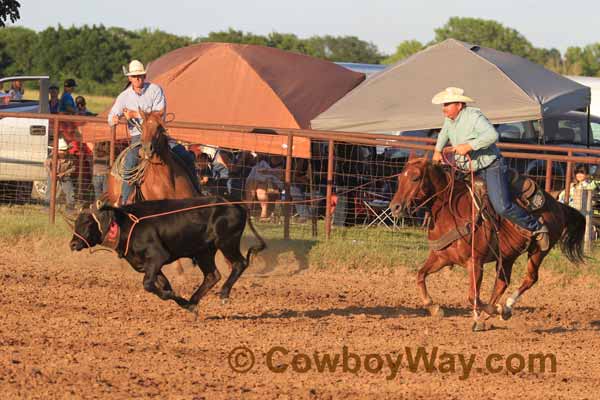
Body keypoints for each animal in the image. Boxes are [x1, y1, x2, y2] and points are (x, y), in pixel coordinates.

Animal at [390, 158, 584, 330]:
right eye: (399, 179)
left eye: (415, 178)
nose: (395, 207)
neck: (449, 213)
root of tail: (557, 204)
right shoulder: (441, 257)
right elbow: (420, 275)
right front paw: (434, 307)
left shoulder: (475, 263)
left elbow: (472, 296)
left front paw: (490, 312)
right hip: (508, 255)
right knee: (502, 283)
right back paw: (491, 314)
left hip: (538, 251)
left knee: (530, 278)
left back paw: (505, 307)